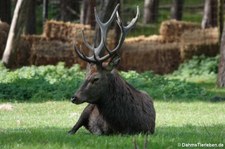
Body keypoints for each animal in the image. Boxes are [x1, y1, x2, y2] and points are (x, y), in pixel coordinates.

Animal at [69, 4, 156, 135]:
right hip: (86, 109)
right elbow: (97, 131)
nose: (74, 97)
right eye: (85, 76)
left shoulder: (148, 130)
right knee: (73, 128)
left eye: (96, 78)